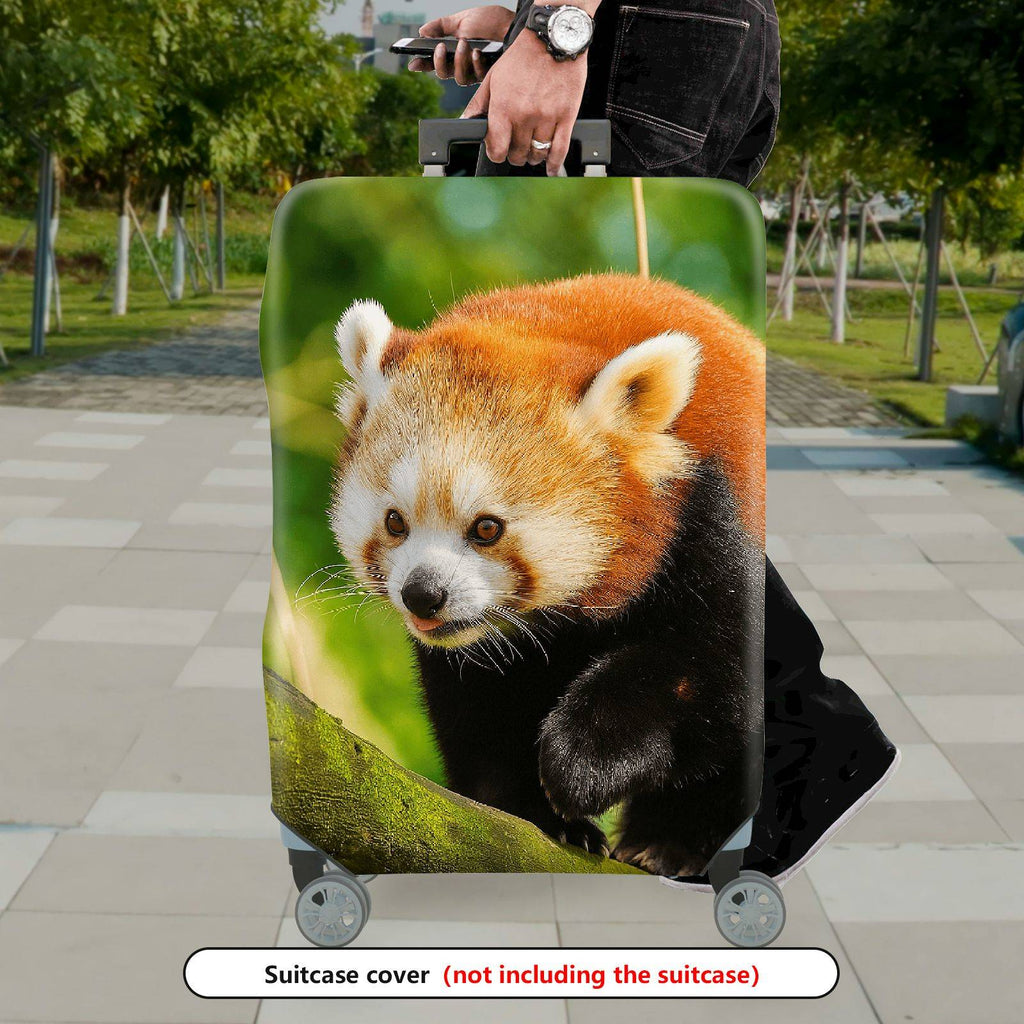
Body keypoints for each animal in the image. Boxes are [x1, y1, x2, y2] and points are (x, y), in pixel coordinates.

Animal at [329, 273, 765, 877]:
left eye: (487, 528)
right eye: (395, 522)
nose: (423, 595)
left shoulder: (710, 520)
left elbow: (711, 672)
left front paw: (584, 761)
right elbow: (478, 715)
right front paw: (535, 813)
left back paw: (671, 842)